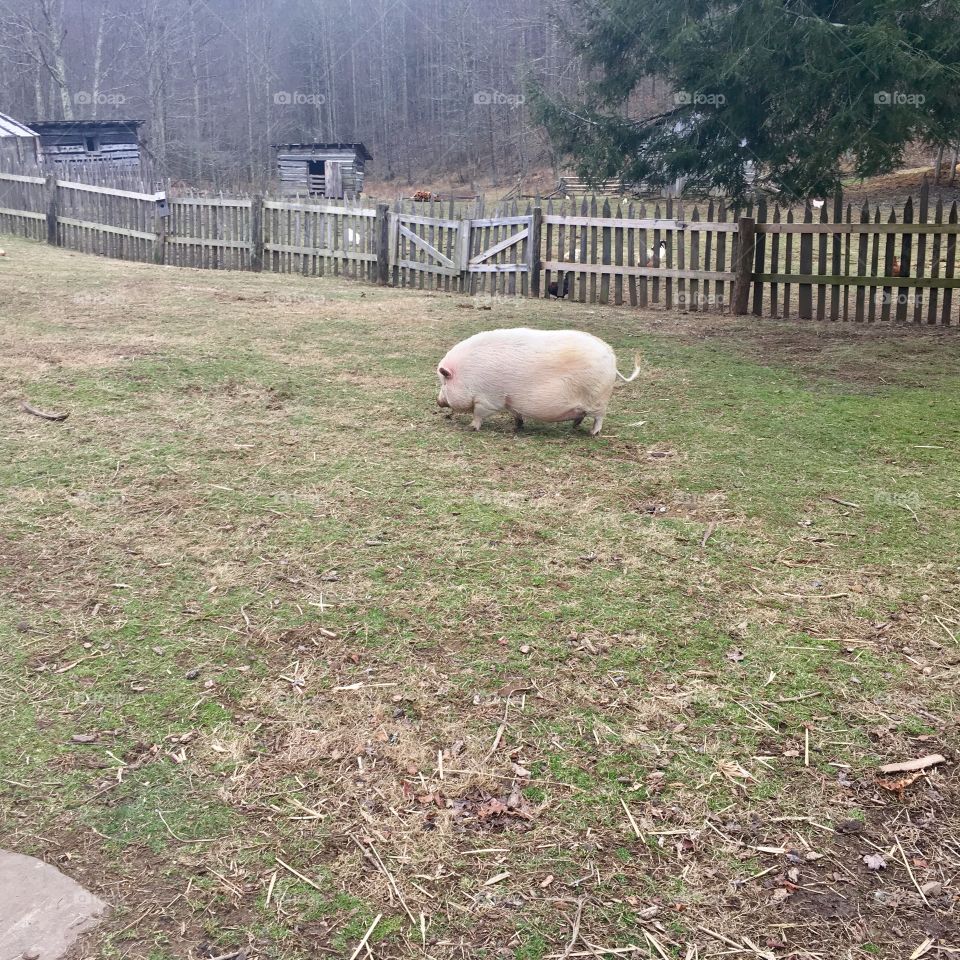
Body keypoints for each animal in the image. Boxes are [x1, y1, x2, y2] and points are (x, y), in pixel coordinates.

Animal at [436, 327, 641, 435]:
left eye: (444, 382)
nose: (438, 401)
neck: (467, 375)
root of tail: (611, 355)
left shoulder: (489, 399)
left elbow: (478, 414)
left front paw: (471, 428)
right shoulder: (510, 400)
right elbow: (516, 414)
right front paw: (517, 427)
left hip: (598, 398)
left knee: (599, 417)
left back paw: (593, 434)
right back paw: (574, 426)